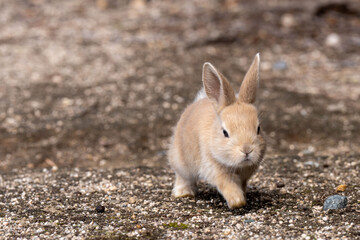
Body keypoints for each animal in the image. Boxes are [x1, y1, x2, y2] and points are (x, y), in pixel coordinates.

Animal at [167, 54, 266, 208]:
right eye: (225, 133)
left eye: (258, 129)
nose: (247, 150)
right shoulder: (214, 169)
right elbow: (227, 185)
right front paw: (237, 202)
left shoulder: (244, 176)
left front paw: (243, 198)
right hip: (181, 161)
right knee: (183, 177)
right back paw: (184, 193)